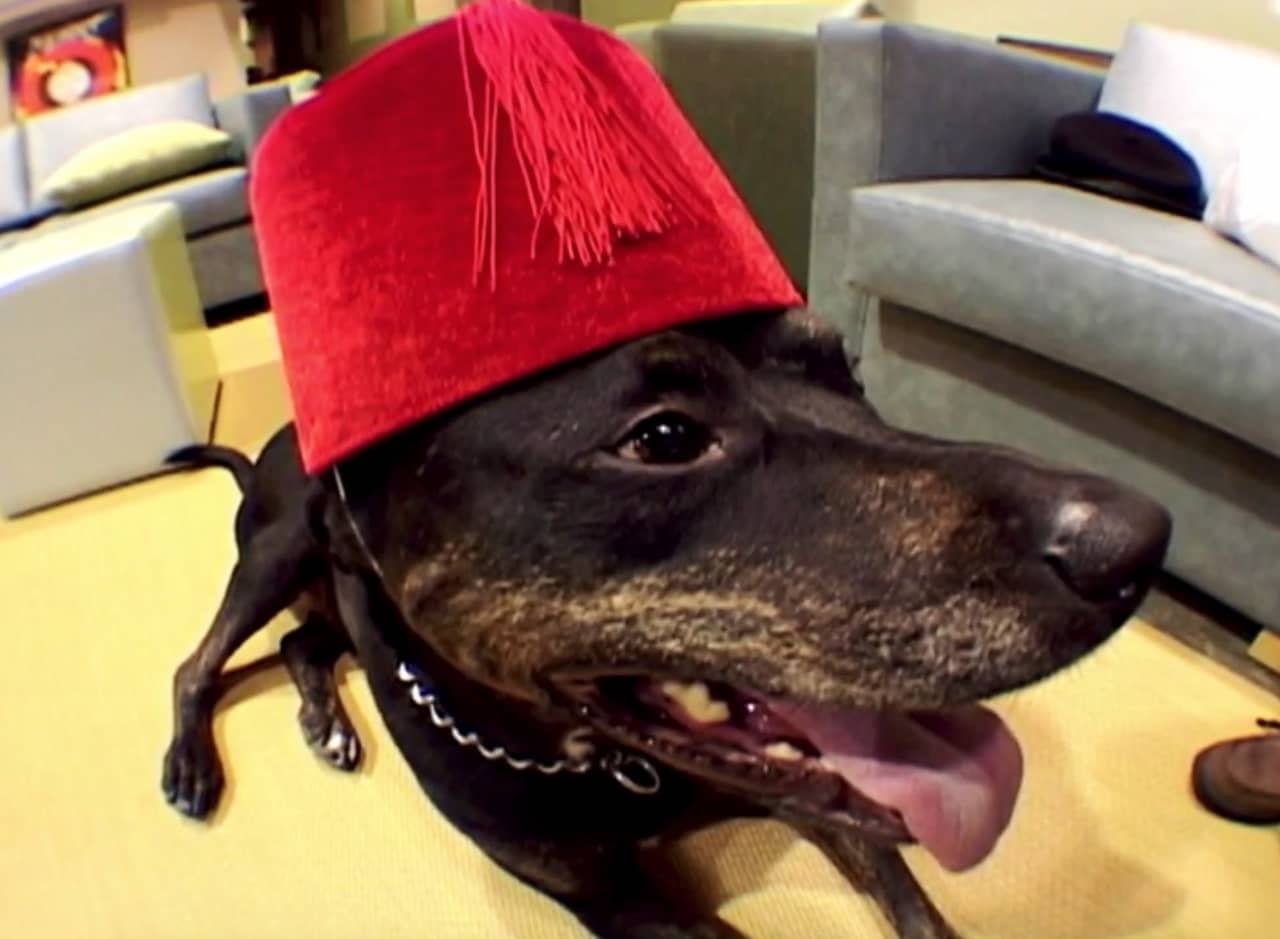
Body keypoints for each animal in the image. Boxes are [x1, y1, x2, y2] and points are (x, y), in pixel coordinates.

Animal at [160, 310, 1172, 939]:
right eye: (663, 438)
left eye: (846, 370)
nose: (1138, 542)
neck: (618, 767)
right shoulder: (619, 902)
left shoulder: (816, 796)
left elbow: (915, 903)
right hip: (279, 546)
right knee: (198, 660)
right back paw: (193, 762)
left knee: (305, 642)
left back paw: (326, 717)